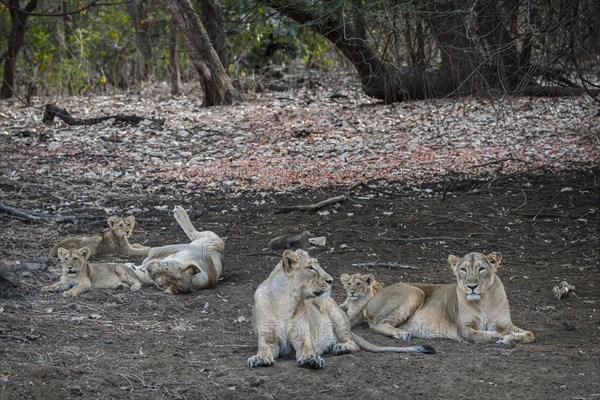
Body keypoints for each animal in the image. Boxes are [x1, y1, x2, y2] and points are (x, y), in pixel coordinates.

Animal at [246, 250, 434, 368]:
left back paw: (338, 348)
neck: (286, 300)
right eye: (310, 267)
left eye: (317, 265)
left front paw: (312, 359)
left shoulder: (302, 338)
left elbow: (307, 348)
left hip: (335, 314)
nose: (330, 280)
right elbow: (264, 348)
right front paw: (259, 359)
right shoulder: (268, 338)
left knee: (352, 344)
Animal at [342, 252, 536, 346]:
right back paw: (403, 334)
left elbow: (530, 335)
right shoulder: (463, 329)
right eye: (463, 269)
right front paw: (496, 336)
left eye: (481, 269)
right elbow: (480, 335)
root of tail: (371, 298)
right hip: (415, 292)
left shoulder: (505, 324)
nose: (472, 286)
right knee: (377, 325)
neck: (484, 301)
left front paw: (510, 338)